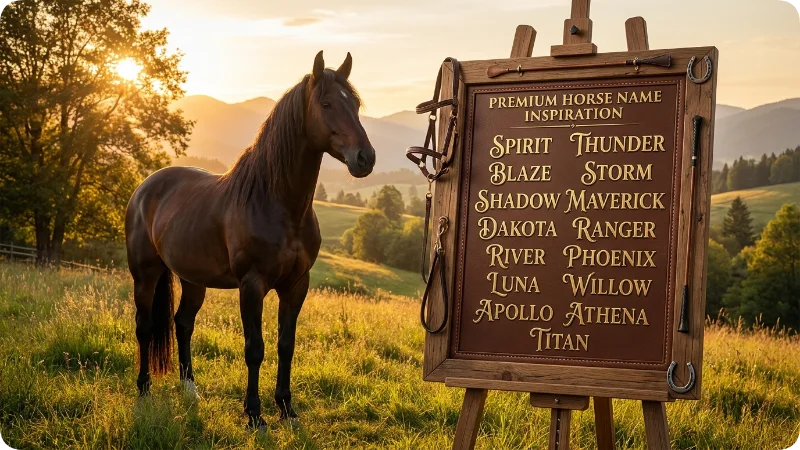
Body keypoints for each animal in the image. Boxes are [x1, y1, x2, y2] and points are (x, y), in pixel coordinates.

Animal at [124, 51, 375, 428]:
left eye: (356, 104)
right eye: (327, 103)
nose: (365, 158)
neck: (276, 202)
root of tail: (145, 187)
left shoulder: (296, 285)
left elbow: (286, 344)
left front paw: (286, 408)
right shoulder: (252, 285)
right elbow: (254, 348)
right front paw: (254, 414)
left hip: (193, 279)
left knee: (182, 324)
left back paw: (190, 390)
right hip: (145, 274)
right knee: (145, 326)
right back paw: (143, 390)